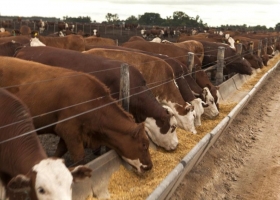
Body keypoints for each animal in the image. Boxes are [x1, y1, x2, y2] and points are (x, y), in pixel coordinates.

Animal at [0, 56, 153, 173]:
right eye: (144, 145)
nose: (150, 166)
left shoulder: (67, 133)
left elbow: (60, 150)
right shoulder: (69, 130)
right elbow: (79, 157)